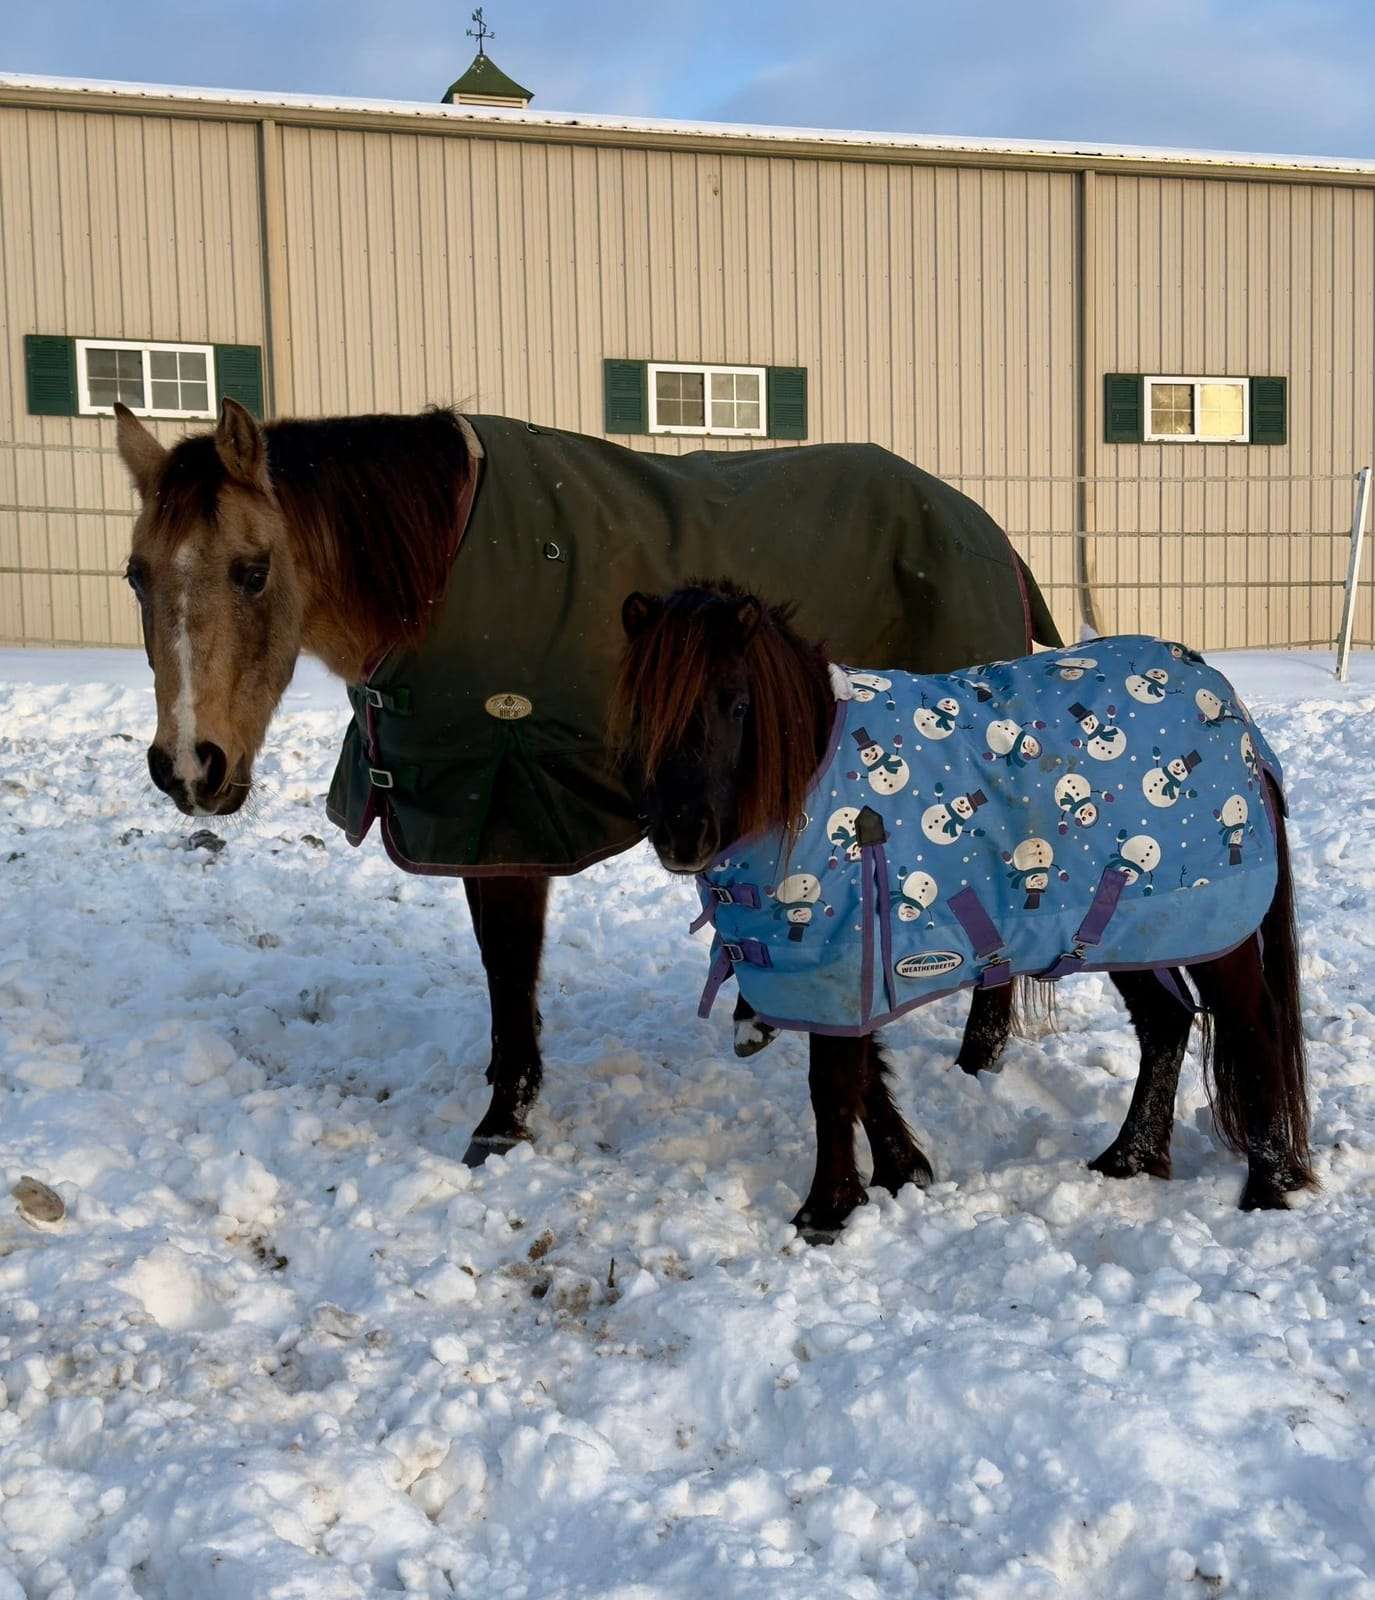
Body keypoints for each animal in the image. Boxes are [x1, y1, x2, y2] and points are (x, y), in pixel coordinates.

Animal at [112, 398, 1061, 1167]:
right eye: (136, 574)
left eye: (253, 570)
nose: (189, 765)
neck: (436, 572)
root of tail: (989, 534)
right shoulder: (474, 815)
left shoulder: (503, 808)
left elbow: (508, 967)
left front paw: (504, 1118)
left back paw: (976, 1064)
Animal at [612, 581, 1315, 1241]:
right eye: (641, 710)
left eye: (736, 704)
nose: (682, 837)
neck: (813, 781)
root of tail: (1230, 708)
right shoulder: (842, 970)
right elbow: (863, 1073)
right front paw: (902, 1171)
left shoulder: (843, 957)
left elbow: (833, 1083)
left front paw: (826, 1211)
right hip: (1129, 931)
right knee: (1165, 1024)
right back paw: (1128, 1159)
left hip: (1214, 934)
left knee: (1254, 1029)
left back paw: (1267, 1186)